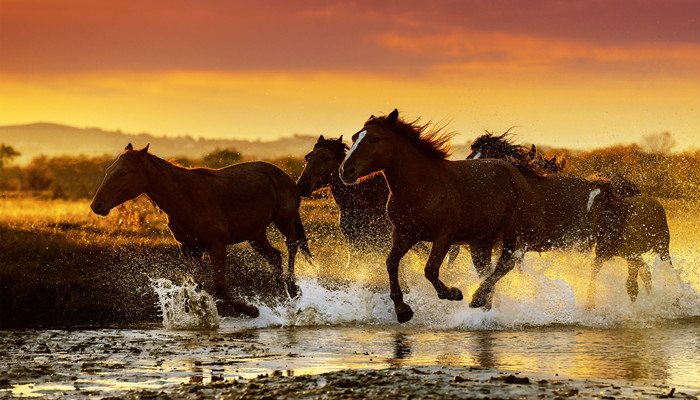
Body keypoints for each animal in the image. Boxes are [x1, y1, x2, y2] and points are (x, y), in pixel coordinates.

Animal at [91, 144, 312, 318]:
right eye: (108, 171)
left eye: (123, 173)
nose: (97, 205)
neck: (187, 198)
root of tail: (286, 177)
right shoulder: (190, 249)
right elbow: (196, 288)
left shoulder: (217, 246)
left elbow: (219, 288)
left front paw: (252, 310)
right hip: (255, 235)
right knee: (275, 256)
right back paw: (285, 296)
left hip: (284, 220)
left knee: (291, 246)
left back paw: (293, 289)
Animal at [298, 134, 462, 264]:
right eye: (307, 157)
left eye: (327, 158)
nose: (302, 185)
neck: (364, 203)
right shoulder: (356, 245)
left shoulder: (385, 244)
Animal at [338, 109, 532, 322]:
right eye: (355, 137)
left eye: (375, 139)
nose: (346, 170)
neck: (421, 188)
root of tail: (513, 172)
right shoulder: (404, 234)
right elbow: (391, 263)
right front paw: (403, 310)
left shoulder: (444, 235)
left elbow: (430, 269)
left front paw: (453, 293)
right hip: (481, 241)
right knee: (486, 270)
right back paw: (484, 305)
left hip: (511, 232)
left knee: (505, 264)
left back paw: (477, 298)